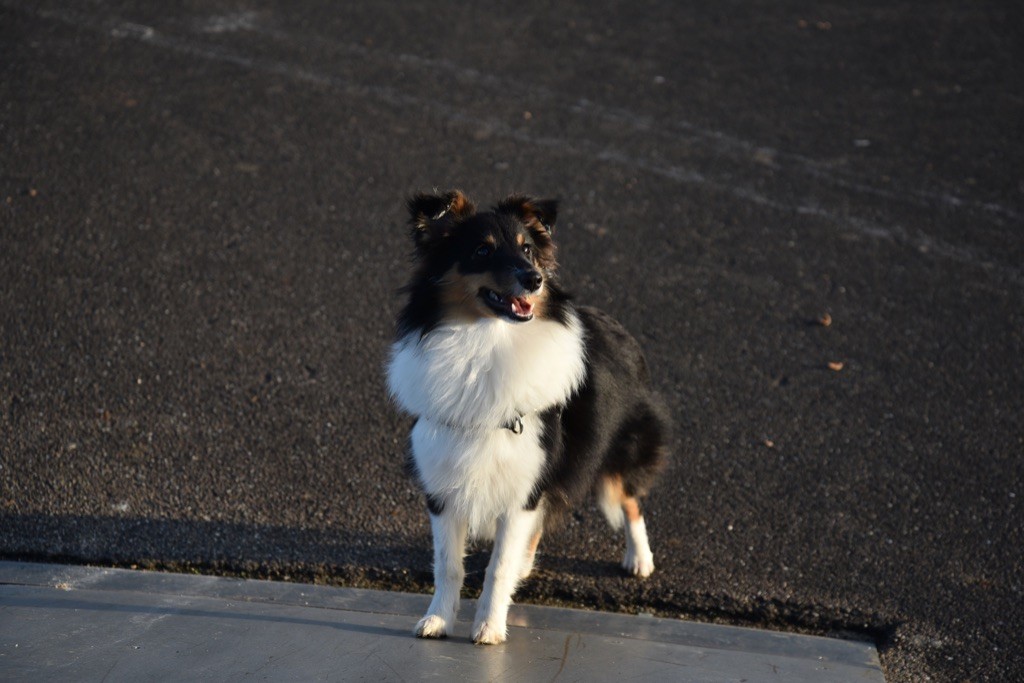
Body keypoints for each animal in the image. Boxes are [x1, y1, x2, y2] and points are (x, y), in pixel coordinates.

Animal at [387, 189, 667, 643]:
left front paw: (489, 627)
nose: (534, 278)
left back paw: (639, 558)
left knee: (629, 499)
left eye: (528, 250)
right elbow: (448, 565)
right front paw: (438, 620)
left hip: (619, 450)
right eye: (481, 250)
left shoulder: (523, 489)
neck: (485, 342)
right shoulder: (443, 484)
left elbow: (498, 568)